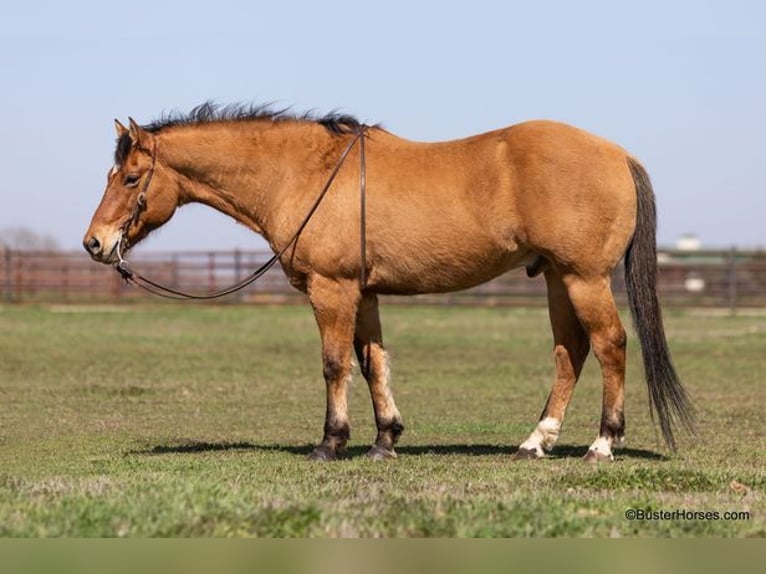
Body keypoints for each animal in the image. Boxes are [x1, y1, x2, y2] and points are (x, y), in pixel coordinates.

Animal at [82, 103, 696, 464]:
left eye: (131, 178)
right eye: (111, 174)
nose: (94, 244)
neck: (304, 173)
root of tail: (618, 154)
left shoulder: (332, 290)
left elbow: (335, 364)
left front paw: (331, 443)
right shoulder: (365, 293)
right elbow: (374, 362)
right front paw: (385, 440)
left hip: (582, 277)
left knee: (611, 345)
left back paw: (602, 444)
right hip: (555, 279)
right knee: (570, 352)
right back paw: (535, 442)